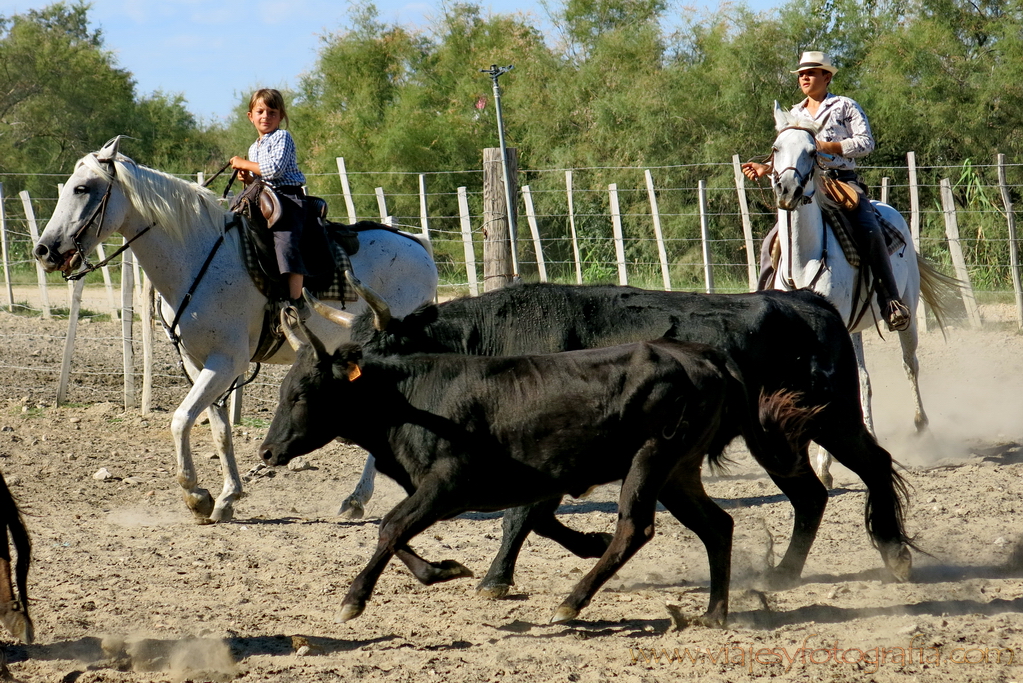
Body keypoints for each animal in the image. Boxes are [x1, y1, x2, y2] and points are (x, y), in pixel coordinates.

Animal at [34, 137, 435, 523]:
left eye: (83, 188)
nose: (44, 250)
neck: (198, 257)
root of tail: (420, 248)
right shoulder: (198, 363)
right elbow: (219, 429)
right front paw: (226, 497)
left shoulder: (226, 362)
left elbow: (181, 420)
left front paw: (197, 497)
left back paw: (356, 499)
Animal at [261, 331, 814, 625]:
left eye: (301, 394)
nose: (267, 451)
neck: (412, 399)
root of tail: (698, 354)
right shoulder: (475, 489)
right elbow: (408, 534)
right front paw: (445, 570)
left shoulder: (450, 483)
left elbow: (391, 526)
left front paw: (353, 600)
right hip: (679, 472)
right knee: (717, 526)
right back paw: (714, 613)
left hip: (654, 458)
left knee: (636, 527)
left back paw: (570, 604)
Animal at [272, 280, 912, 593]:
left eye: (370, 352)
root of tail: (807, 301)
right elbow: (536, 516)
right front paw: (581, 545)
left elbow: (522, 515)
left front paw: (496, 577)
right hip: (777, 436)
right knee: (811, 495)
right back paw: (786, 572)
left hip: (834, 417)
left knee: (874, 465)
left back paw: (895, 551)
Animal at [769, 101, 953, 484]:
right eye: (776, 148)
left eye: (812, 151)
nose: (788, 190)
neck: (804, 260)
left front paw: (824, 466)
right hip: (851, 330)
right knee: (863, 380)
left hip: (907, 315)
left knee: (910, 364)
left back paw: (921, 426)